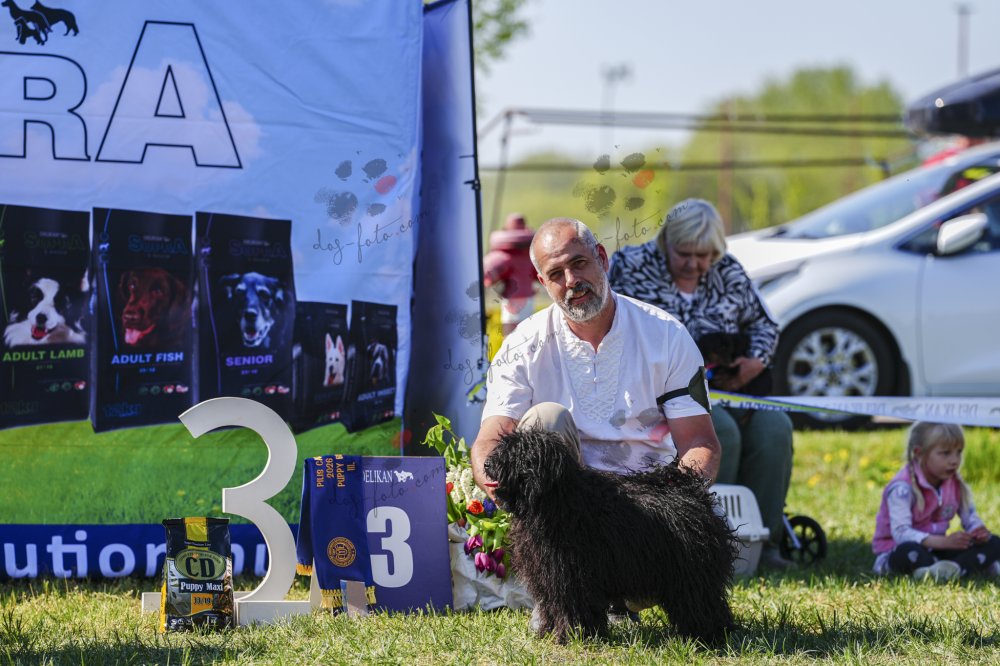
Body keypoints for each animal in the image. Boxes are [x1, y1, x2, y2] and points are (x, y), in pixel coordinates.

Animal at [484, 428, 737, 643]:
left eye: (513, 454)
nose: (486, 463)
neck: (559, 500)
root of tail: (693, 494)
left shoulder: (573, 576)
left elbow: (572, 607)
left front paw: (573, 636)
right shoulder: (548, 573)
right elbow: (551, 604)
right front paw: (548, 631)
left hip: (693, 574)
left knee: (703, 603)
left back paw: (710, 635)